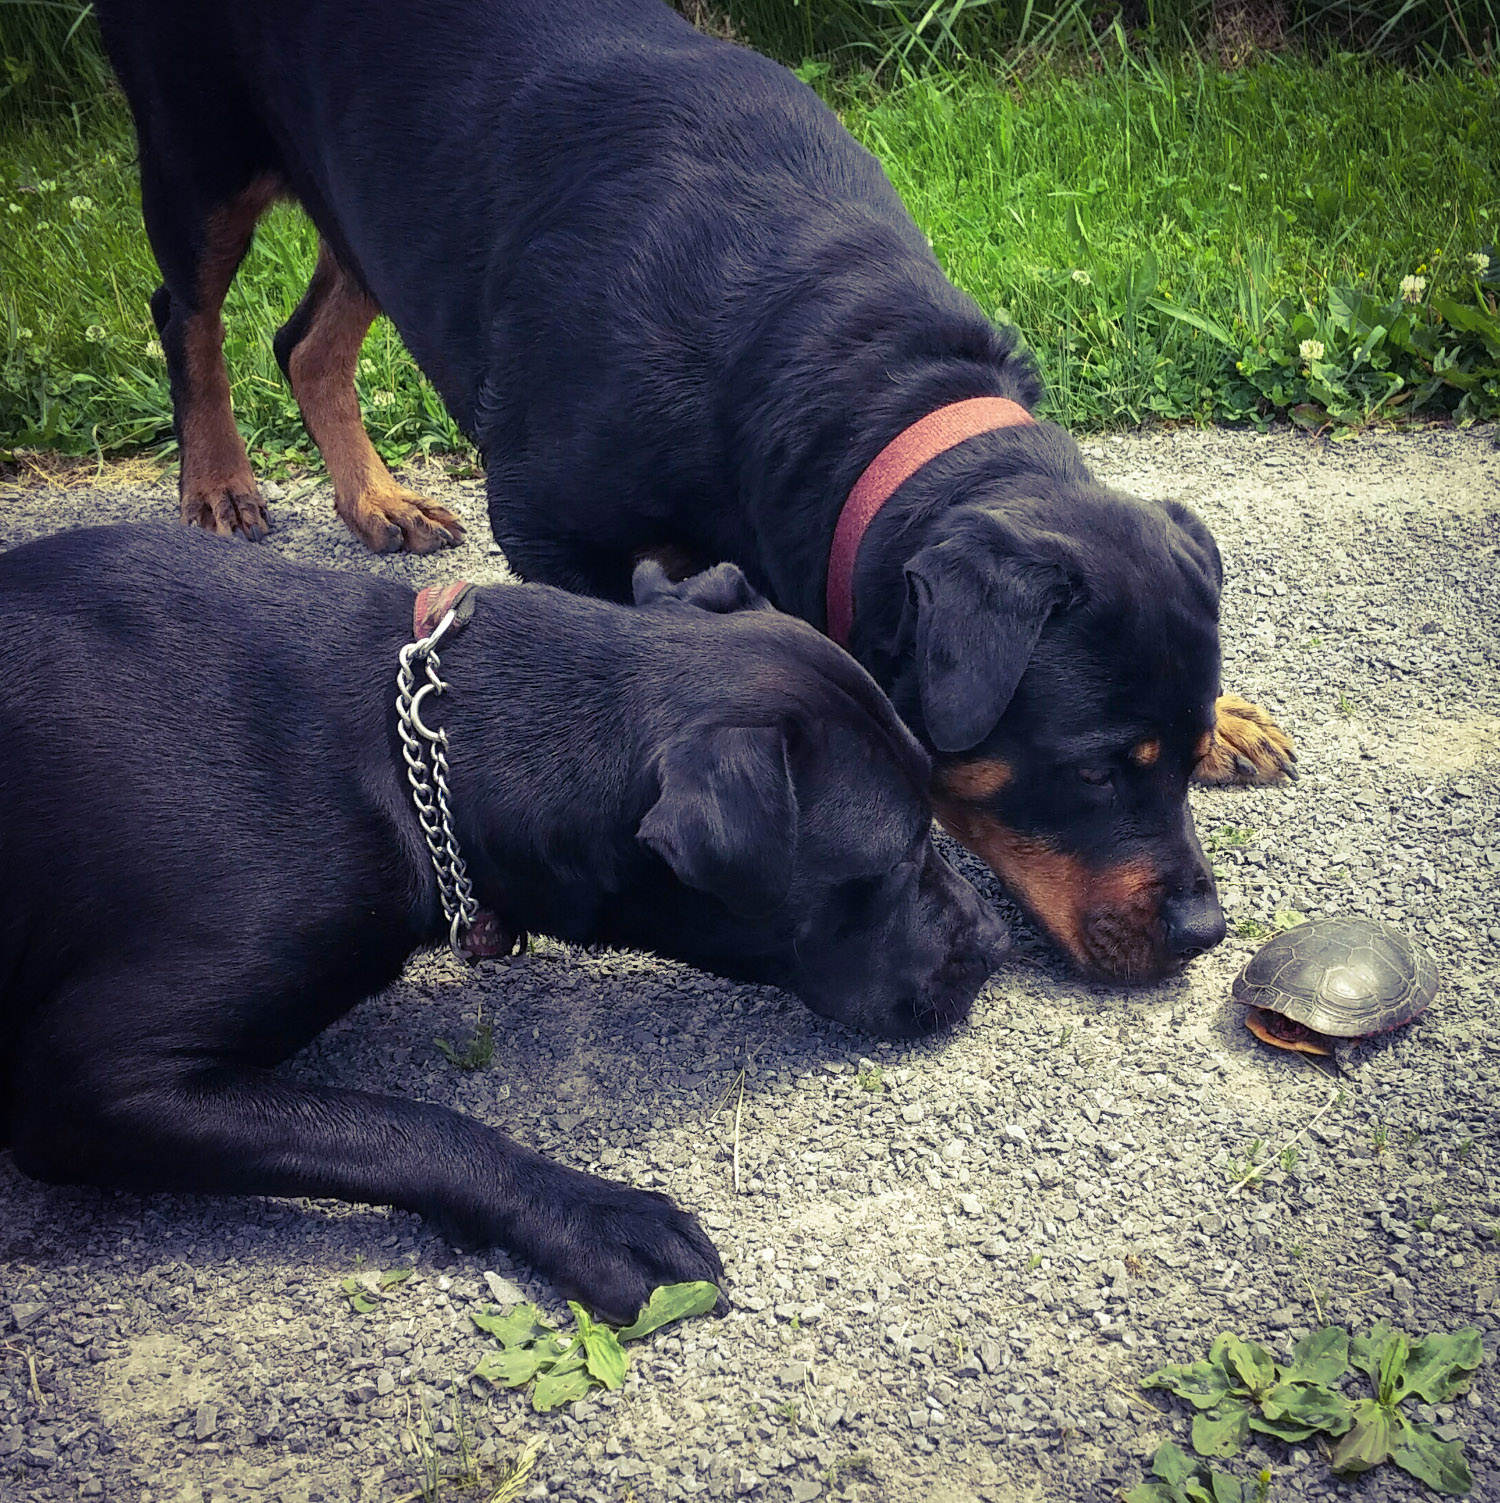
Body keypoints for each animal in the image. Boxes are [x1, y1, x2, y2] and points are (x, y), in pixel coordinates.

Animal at [2, 526, 1010, 1316]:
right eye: (891, 861)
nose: (998, 945)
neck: (412, 747)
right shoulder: (87, 1080)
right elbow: (404, 1126)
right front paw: (591, 1214)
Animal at [93, 0, 1298, 985]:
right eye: (1093, 771)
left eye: (1181, 750)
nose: (1204, 933)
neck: (856, 373)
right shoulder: (552, 525)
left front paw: (1235, 719)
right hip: (200, 152)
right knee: (185, 310)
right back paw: (219, 482)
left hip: (362, 200)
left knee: (307, 341)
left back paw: (375, 500)